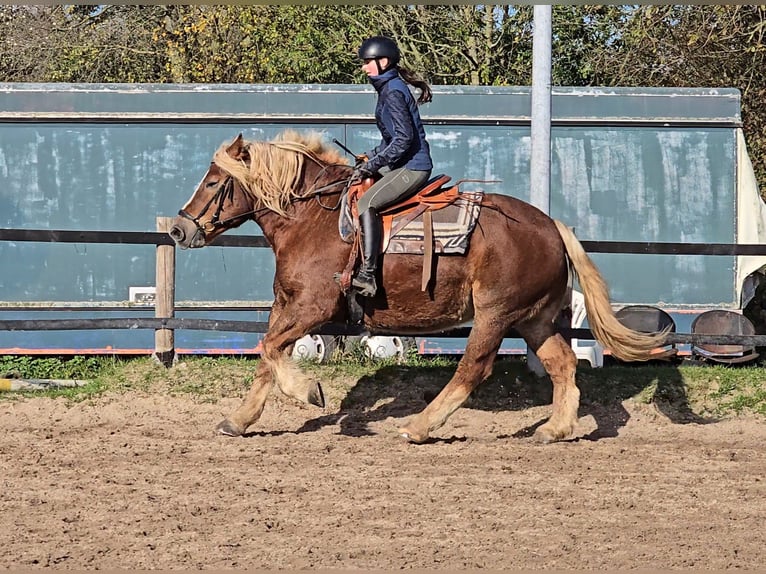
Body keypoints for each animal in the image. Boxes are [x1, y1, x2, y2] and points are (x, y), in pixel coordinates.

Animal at [170, 132, 664, 446]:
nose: (178, 228)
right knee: (563, 365)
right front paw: (239, 420)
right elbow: (266, 358)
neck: (312, 220)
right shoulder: (286, 305)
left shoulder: (314, 306)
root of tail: (551, 227)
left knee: (473, 369)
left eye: (213, 182)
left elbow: (272, 350)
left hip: (496, 314)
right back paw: (555, 429)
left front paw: (309, 392)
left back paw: (420, 426)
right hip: (535, 319)